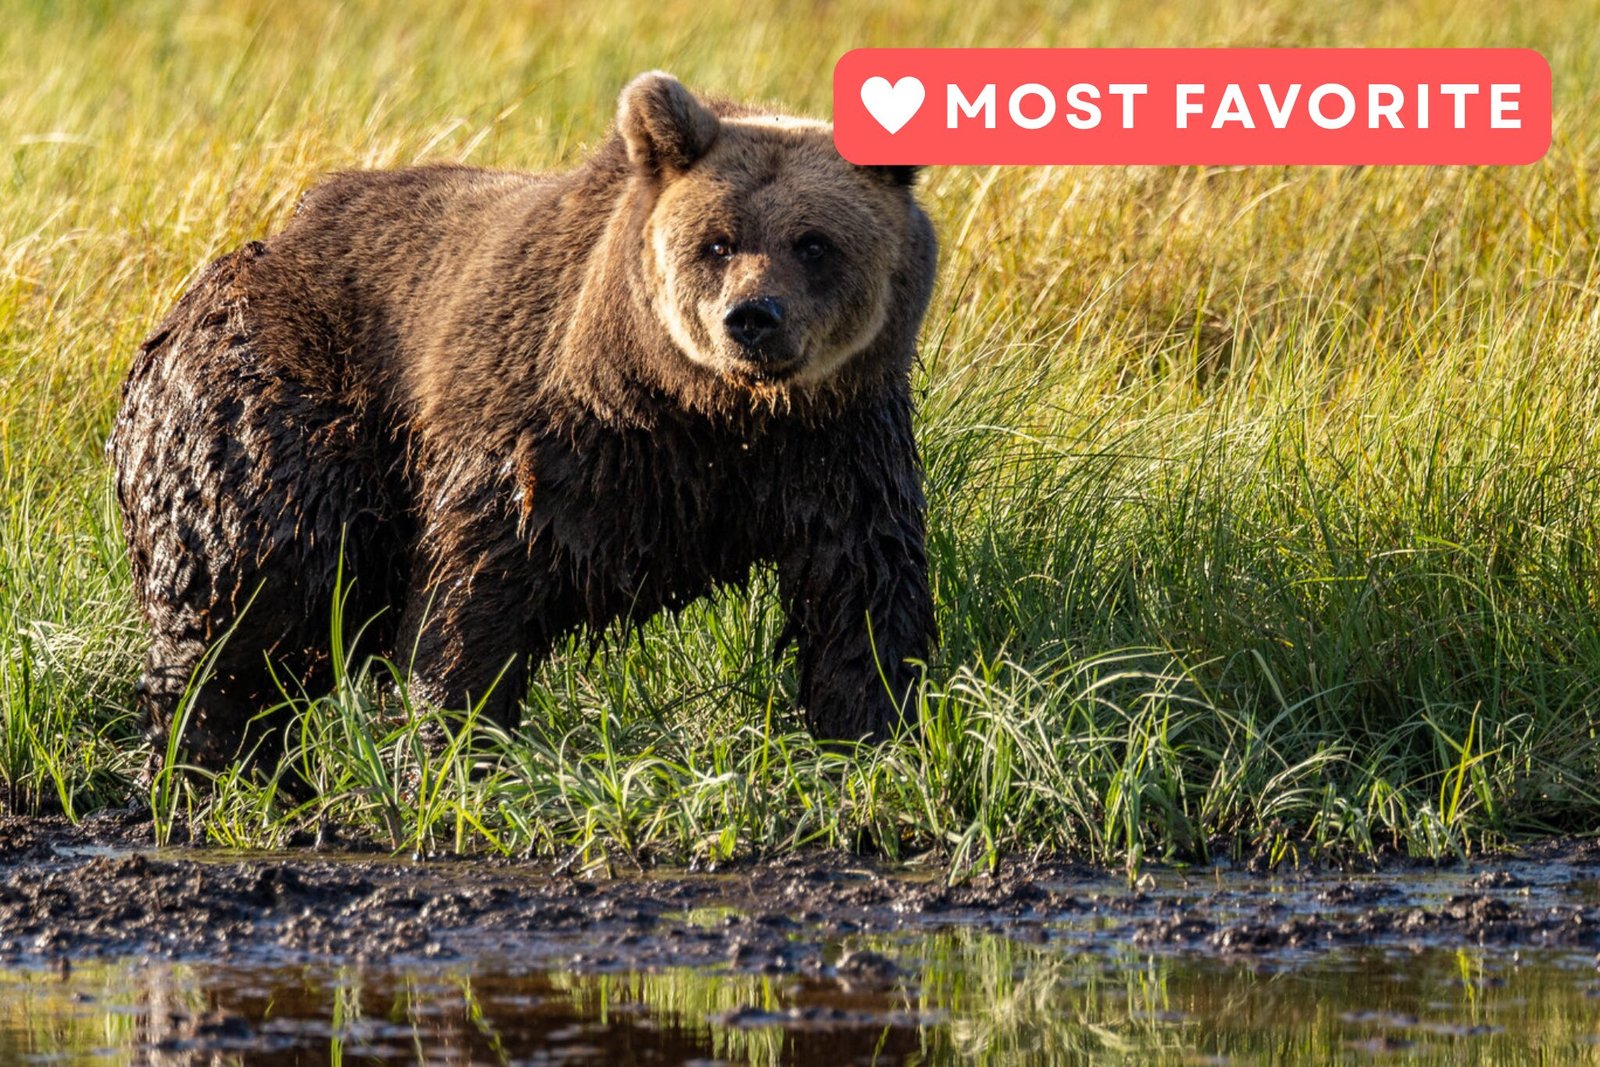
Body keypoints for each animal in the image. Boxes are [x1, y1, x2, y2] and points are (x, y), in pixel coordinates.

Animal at [109, 72, 938, 767]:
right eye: (717, 241)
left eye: (814, 242)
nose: (753, 318)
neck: (701, 409)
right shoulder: (548, 434)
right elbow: (475, 591)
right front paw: (452, 750)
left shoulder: (839, 447)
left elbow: (861, 592)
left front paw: (872, 733)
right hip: (278, 400)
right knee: (253, 585)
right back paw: (211, 765)